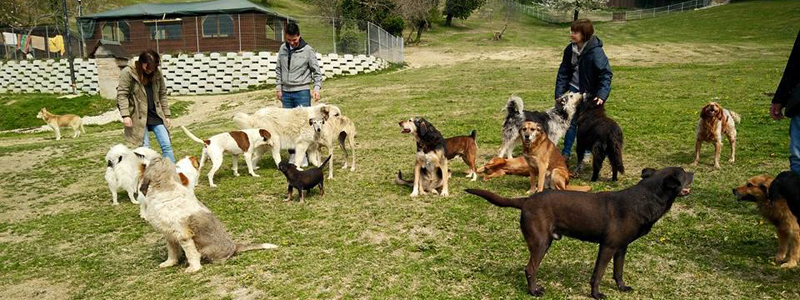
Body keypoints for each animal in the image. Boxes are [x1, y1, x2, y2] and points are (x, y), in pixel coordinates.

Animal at [141, 158, 282, 274]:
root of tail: (234, 246)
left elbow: (191, 254)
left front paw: (193, 268)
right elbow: (172, 251)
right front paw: (169, 263)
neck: (165, 187)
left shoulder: (183, 235)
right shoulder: (169, 233)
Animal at [466, 168, 692, 298]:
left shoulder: (621, 248)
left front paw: (621, 287)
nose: (694, 173)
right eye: (683, 173)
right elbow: (598, 274)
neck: (645, 198)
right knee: (530, 269)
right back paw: (534, 291)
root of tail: (526, 201)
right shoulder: (607, 246)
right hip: (541, 242)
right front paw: (596, 294)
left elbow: (618, 271)